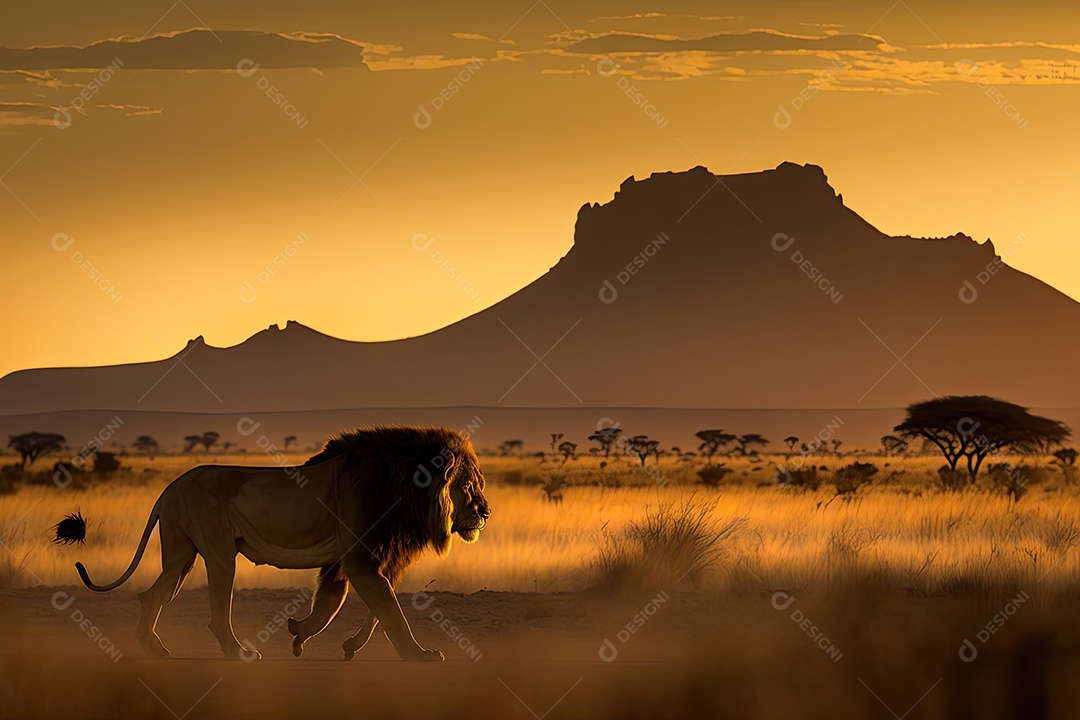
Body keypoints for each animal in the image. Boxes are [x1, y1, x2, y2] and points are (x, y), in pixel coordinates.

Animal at [57, 426, 490, 662]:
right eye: (470, 486)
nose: (486, 514)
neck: (407, 489)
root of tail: (171, 485)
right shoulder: (360, 558)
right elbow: (391, 612)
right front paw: (419, 655)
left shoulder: (360, 560)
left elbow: (352, 607)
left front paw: (309, 635)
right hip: (218, 553)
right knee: (217, 613)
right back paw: (239, 654)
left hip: (181, 555)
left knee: (153, 594)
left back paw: (154, 649)